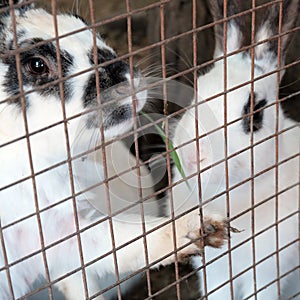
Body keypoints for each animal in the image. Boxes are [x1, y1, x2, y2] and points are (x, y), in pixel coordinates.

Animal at [0, 0, 229, 300]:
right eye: (36, 65)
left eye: (83, 23)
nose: (127, 79)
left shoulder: (62, 234)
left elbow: (123, 242)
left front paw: (201, 228)